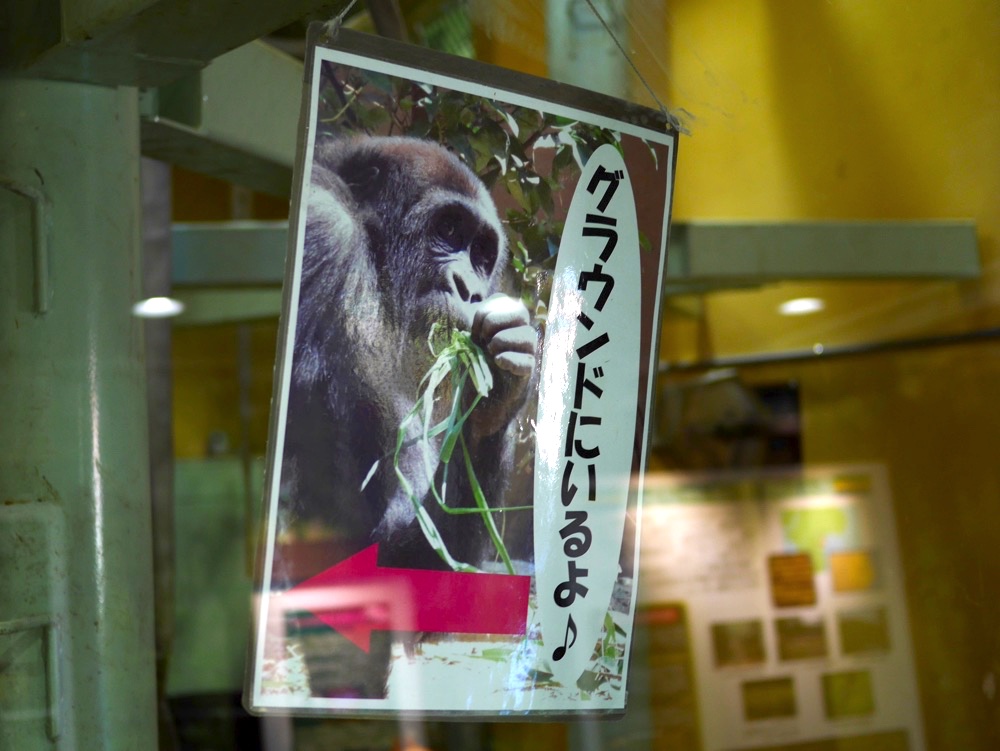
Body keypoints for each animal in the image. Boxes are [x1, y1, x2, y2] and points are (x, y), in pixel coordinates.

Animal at [278, 137, 536, 580]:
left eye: (483, 255)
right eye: (447, 229)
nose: (469, 289)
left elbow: (404, 551)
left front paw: (496, 395)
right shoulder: (323, 226)